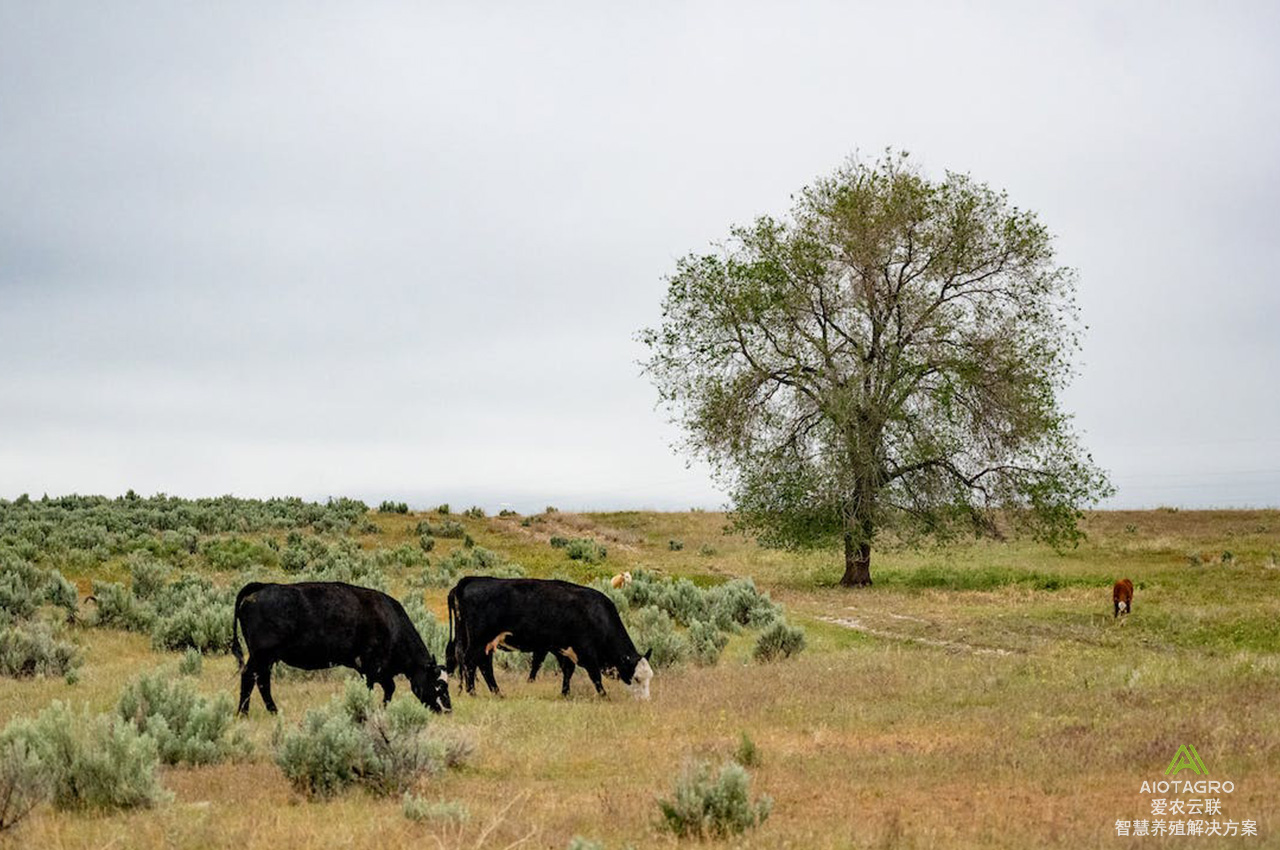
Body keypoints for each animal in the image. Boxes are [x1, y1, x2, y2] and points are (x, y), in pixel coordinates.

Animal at [231, 581, 450, 711]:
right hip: (261, 655)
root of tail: (261, 587)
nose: (448, 709)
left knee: (262, 681)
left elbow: (389, 689)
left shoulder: (378, 671)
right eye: (439, 684)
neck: (391, 622)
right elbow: (380, 688)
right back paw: (244, 712)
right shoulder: (372, 668)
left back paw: (273, 711)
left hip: (267, 658)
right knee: (249, 677)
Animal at [448, 573, 650, 701]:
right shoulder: (586, 652)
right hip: (479, 639)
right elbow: (595, 676)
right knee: (470, 662)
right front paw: (604, 696)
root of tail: (470, 580)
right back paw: (472, 692)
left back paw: (497, 693)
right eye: (637, 678)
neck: (595, 614)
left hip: (485, 641)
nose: (645, 701)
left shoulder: (561, 649)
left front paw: (565, 693)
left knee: (483, 665)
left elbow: (567, 671)